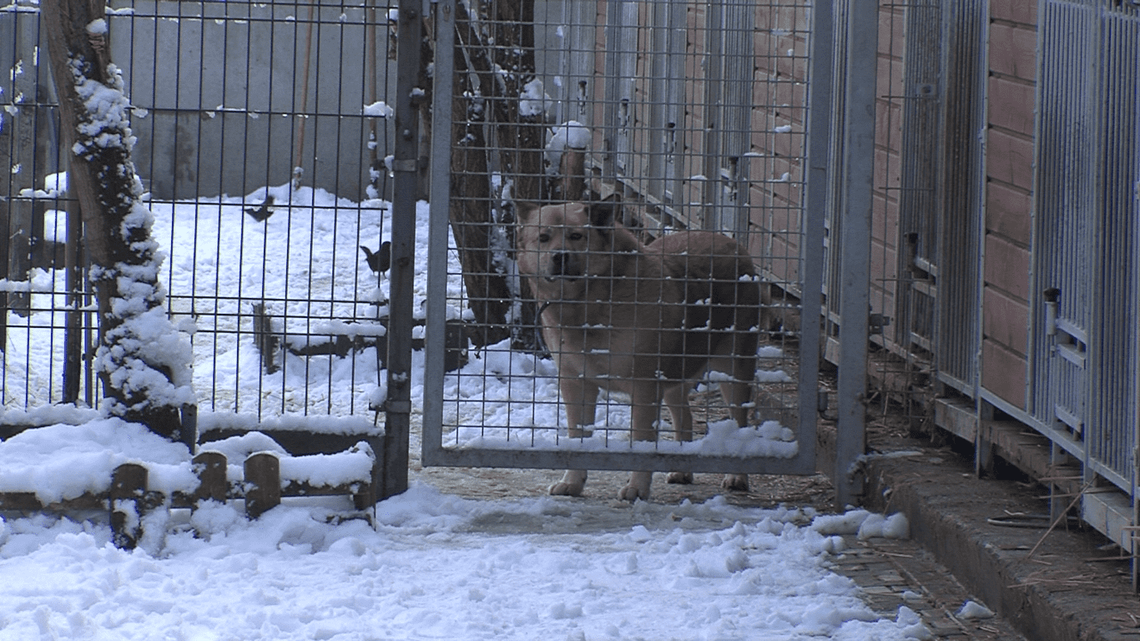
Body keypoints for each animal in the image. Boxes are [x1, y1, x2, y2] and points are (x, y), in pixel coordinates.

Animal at [515, 199, 761, 499]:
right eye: (543, 238)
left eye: (576, 236)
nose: (559, 256)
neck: (590, 304)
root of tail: (731, 242)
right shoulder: (575, 383)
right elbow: (578, 435)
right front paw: (573, 482)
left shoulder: (644, 387)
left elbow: (641, 439)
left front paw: (636, 488)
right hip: (676, 375)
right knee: (684, 418)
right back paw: (681, 470)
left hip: (733, 371)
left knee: (740, 423)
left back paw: (736, 476)